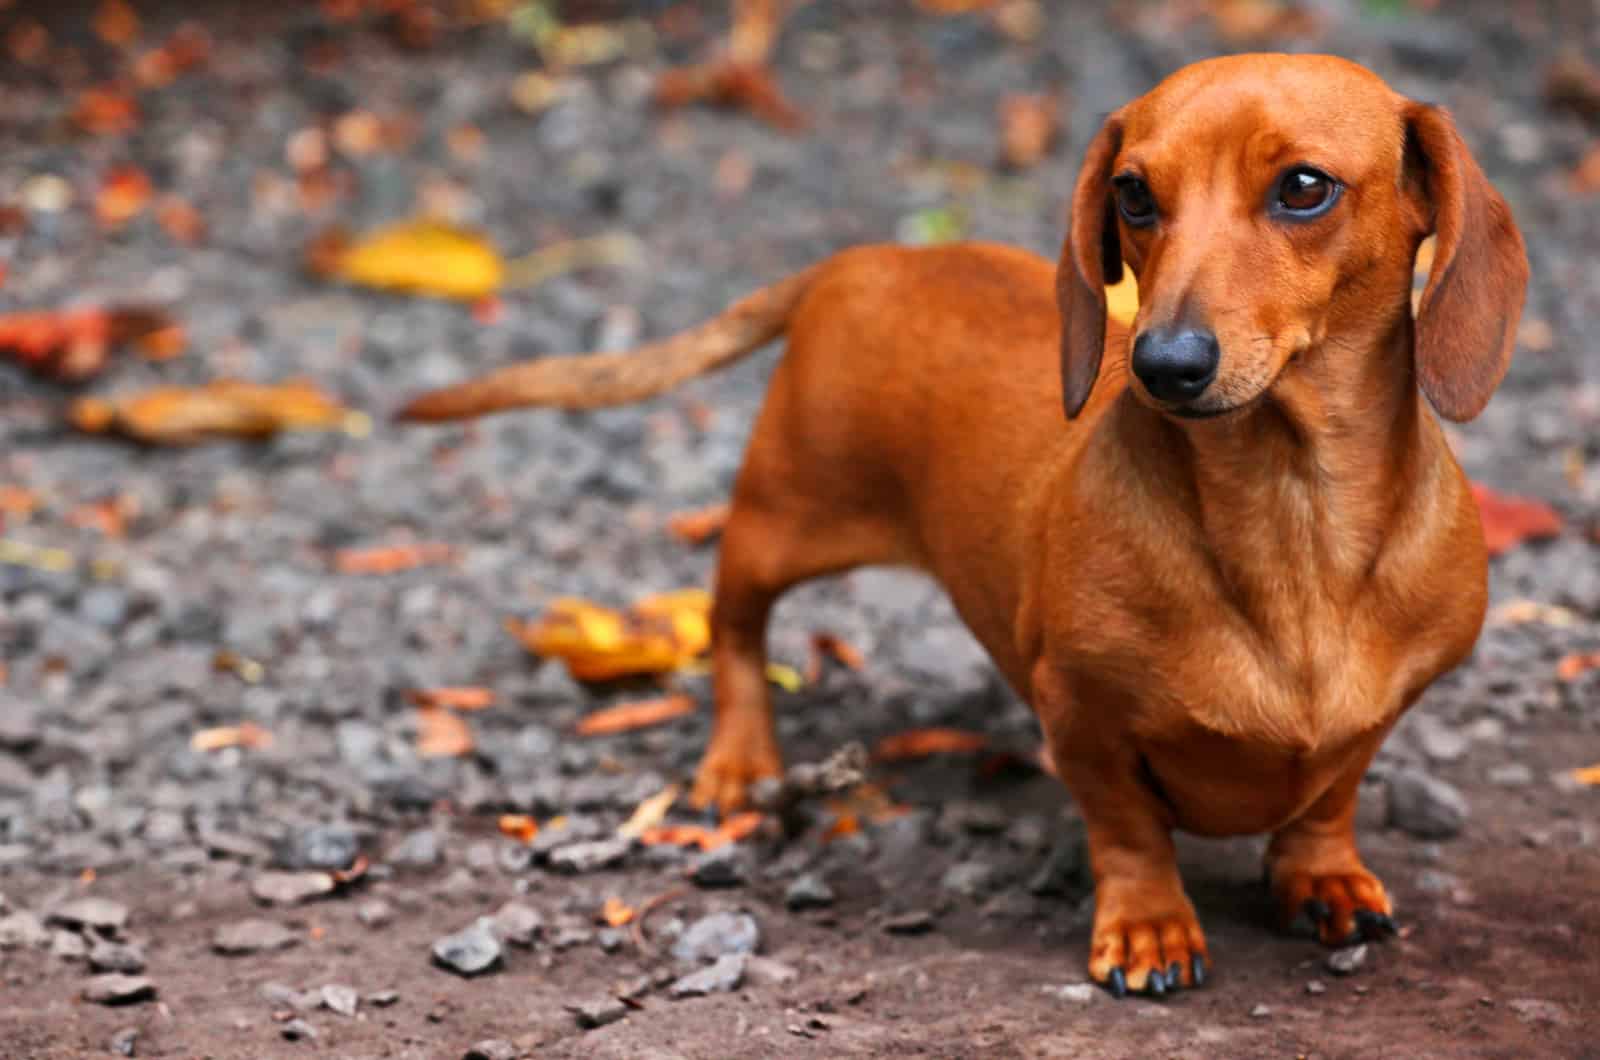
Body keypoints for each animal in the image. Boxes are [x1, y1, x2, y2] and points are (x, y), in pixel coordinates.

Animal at [396, 54, 1523, 999]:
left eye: (1303, 187)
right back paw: (739, 761)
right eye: (1133, 193)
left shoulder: (1379, 716)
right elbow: (1126, 830)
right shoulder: (1078, 714)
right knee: (733, 626)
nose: (1162, 364)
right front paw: (1149, 926)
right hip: (781, 519)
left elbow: (1328, 797)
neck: (1291, 518)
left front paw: (1321, 877)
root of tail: (864, 260)